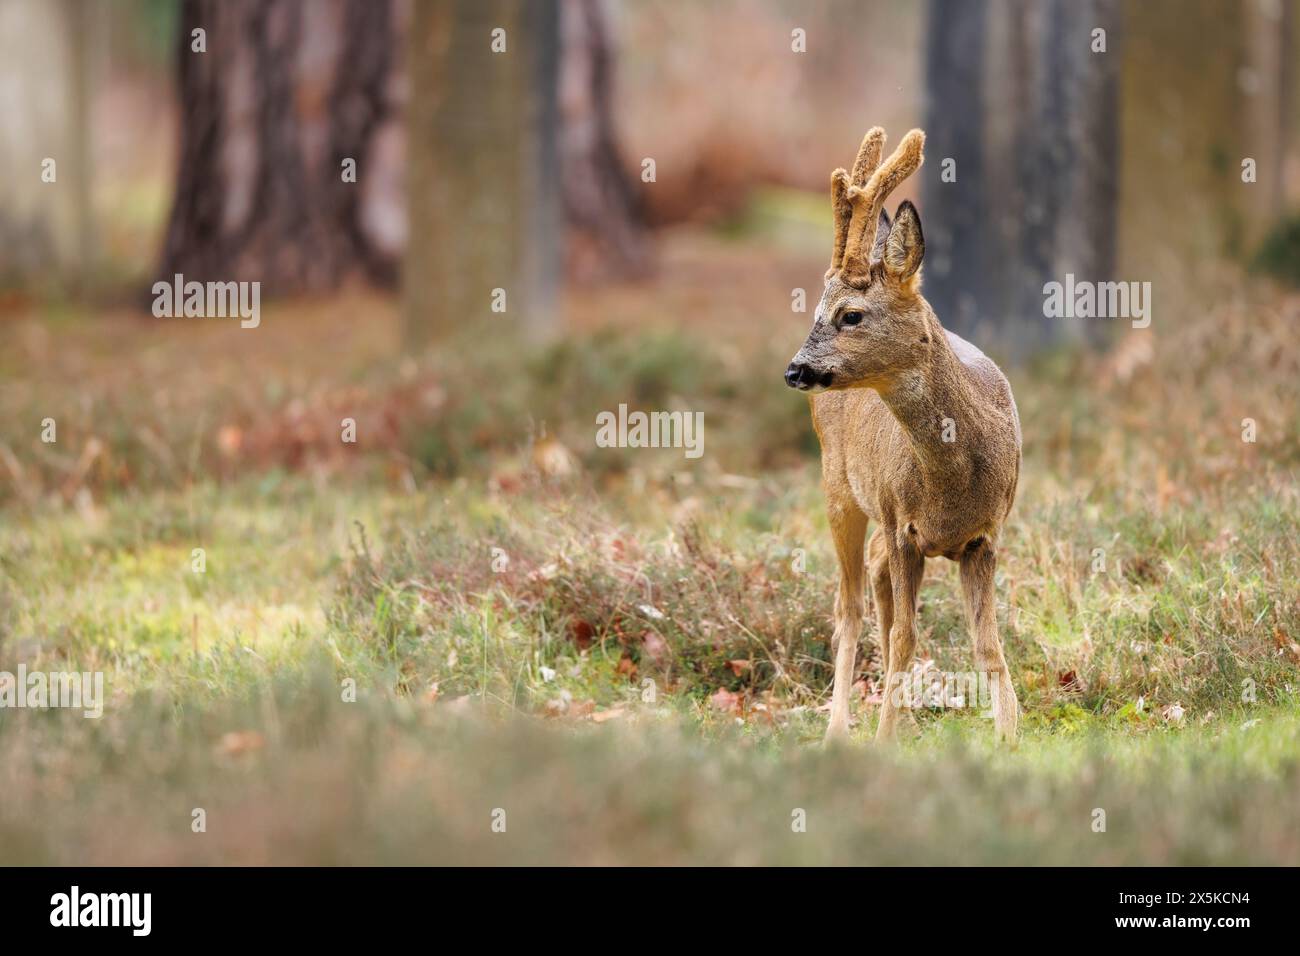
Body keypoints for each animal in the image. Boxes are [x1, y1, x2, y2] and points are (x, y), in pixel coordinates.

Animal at [780, 127, 1024, 743]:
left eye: (850, 314)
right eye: (816, 309)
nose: (794, 370)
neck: (954, 482)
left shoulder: (986, 536)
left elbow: (988, 646)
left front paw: (1009, 736)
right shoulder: (902, 524)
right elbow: (903, 638)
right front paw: (885, 737)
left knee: (872, 579)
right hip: (838, 487)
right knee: (848, 608)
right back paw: (839, 730)